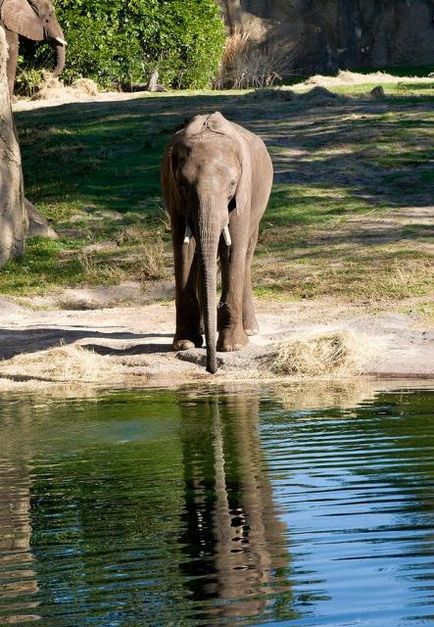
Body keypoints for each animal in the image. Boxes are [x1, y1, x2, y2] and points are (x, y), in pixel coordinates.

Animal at [161, 111, 272, 376]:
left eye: (231, 185)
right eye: (183, 184)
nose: (211, 370)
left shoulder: (244, 193)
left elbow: (234, 248)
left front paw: (232, 348)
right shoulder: (174, 194)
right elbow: (184, 248)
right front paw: (185, 344)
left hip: (259, 205)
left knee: (246, 254)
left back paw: (250, 330)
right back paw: (204, 331)